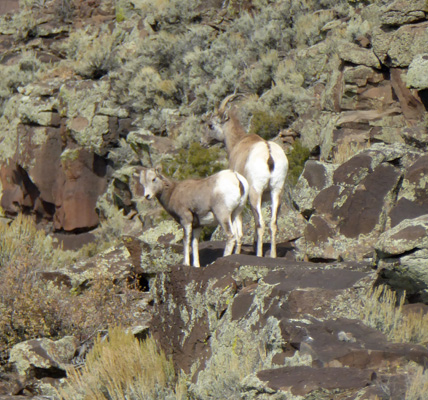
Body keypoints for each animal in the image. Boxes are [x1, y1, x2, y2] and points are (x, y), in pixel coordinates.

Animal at [206, 94, 290, 256]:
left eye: (211, 125)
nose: (204, 142)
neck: (239, 142)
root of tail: (269, 153)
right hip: (277, 192)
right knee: (272, 223)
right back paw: (272, 255)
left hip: (255, 194)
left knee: (260, 224)